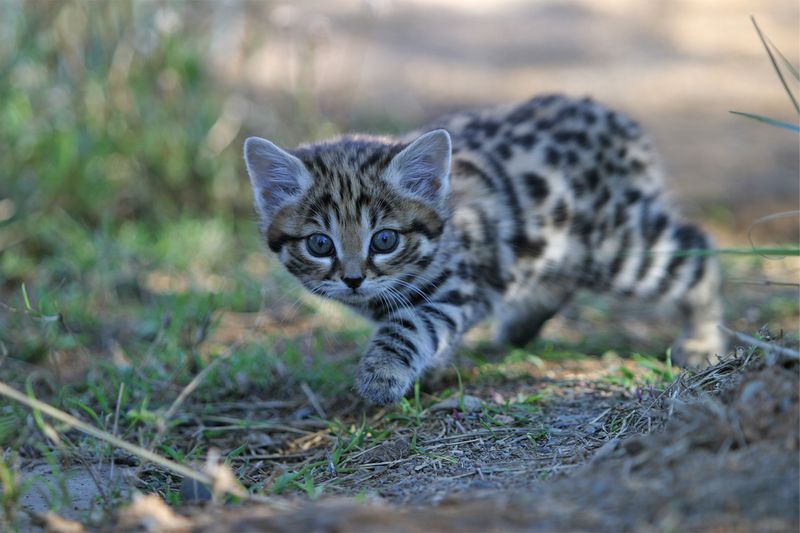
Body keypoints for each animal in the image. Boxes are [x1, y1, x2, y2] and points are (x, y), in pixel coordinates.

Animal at [244, 95, 724, 404]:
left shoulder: (459, 286)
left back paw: (701, 338)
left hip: (618, 248)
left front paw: (382, 373)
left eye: (384, 239)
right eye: (319, 244)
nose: (352, 279)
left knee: (697, 252)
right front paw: (432, 370)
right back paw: (518, 328)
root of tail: (620, 122)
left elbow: (410, 325)